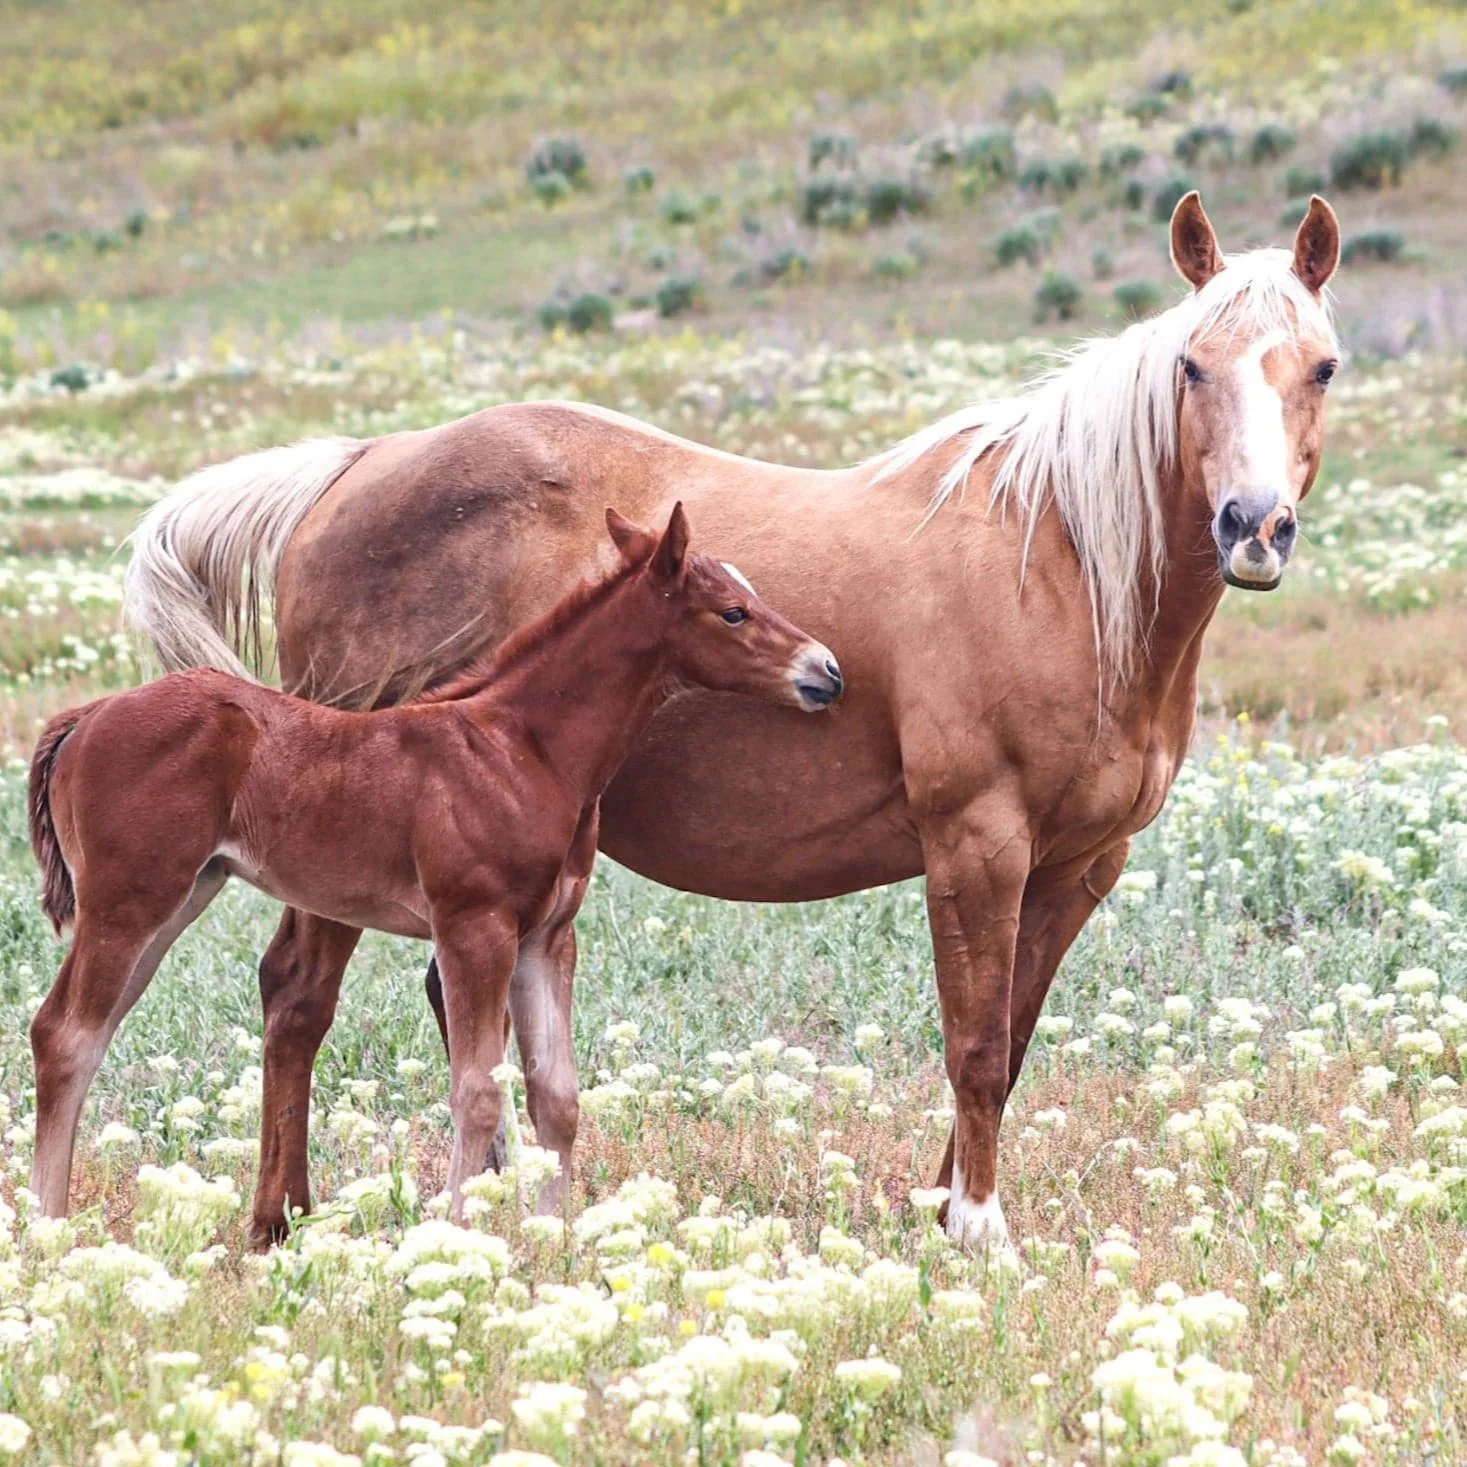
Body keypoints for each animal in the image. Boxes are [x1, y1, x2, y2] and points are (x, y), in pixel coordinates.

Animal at [29, 506, 841, 1226]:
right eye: (733, 612)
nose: (827, 671)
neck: (524, 750)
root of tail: (88, 715)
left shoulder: (548, 936)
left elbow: (557, 1094)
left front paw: (554, 1240)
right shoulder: (473, 928)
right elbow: (477, 1091)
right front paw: (458, 1233)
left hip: (179, 892)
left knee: (86, 1034)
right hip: (130, 899)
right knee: (65, 1034)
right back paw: (47, 1229)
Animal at [123, 192, 1343, 1249]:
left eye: (1323, 365)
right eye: (1190, 365)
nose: (1254, 526)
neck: (1059, 565)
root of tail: (354, 466)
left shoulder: (1078, 867)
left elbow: (1012, 1041)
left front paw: (942, 1210)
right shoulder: (976, 847)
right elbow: (975, 1045)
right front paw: (977, 1232)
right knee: (297, 997)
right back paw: (281, 1222)